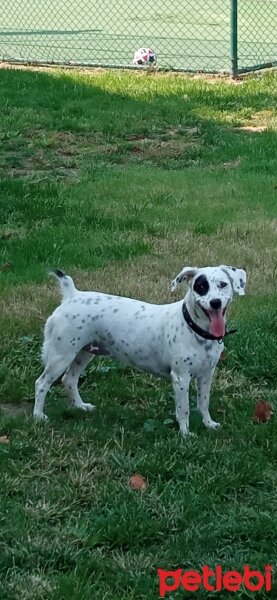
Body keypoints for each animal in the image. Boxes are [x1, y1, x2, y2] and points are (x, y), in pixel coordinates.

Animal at [33, 264, 246, 434]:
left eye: (223, 284)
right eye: (201, 287)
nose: (215, 302)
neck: (195, 330)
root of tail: (72, 295)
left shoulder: (206, 375)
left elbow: (203, 403)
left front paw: (208, 424)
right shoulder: (181, 378)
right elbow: (183, 409)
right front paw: (185, 434)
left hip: (83, 353)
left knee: (69, 379)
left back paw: (80, 406)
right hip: (61, 356)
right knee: (42, 383)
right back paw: (38, 416)